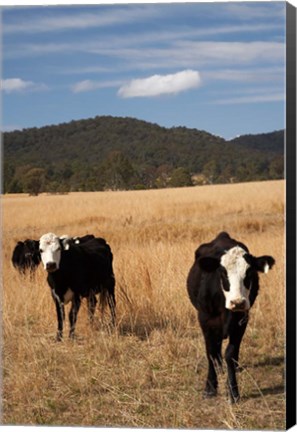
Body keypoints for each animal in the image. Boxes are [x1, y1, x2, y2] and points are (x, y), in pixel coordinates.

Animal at [186, 231, 274, 404]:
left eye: (249, 273)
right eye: (222, 273)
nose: (237, 302)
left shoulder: (241, 320)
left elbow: (230, 353)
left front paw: (233, 391)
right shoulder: (205, 320)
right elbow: (211, 352)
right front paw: (210, 388)